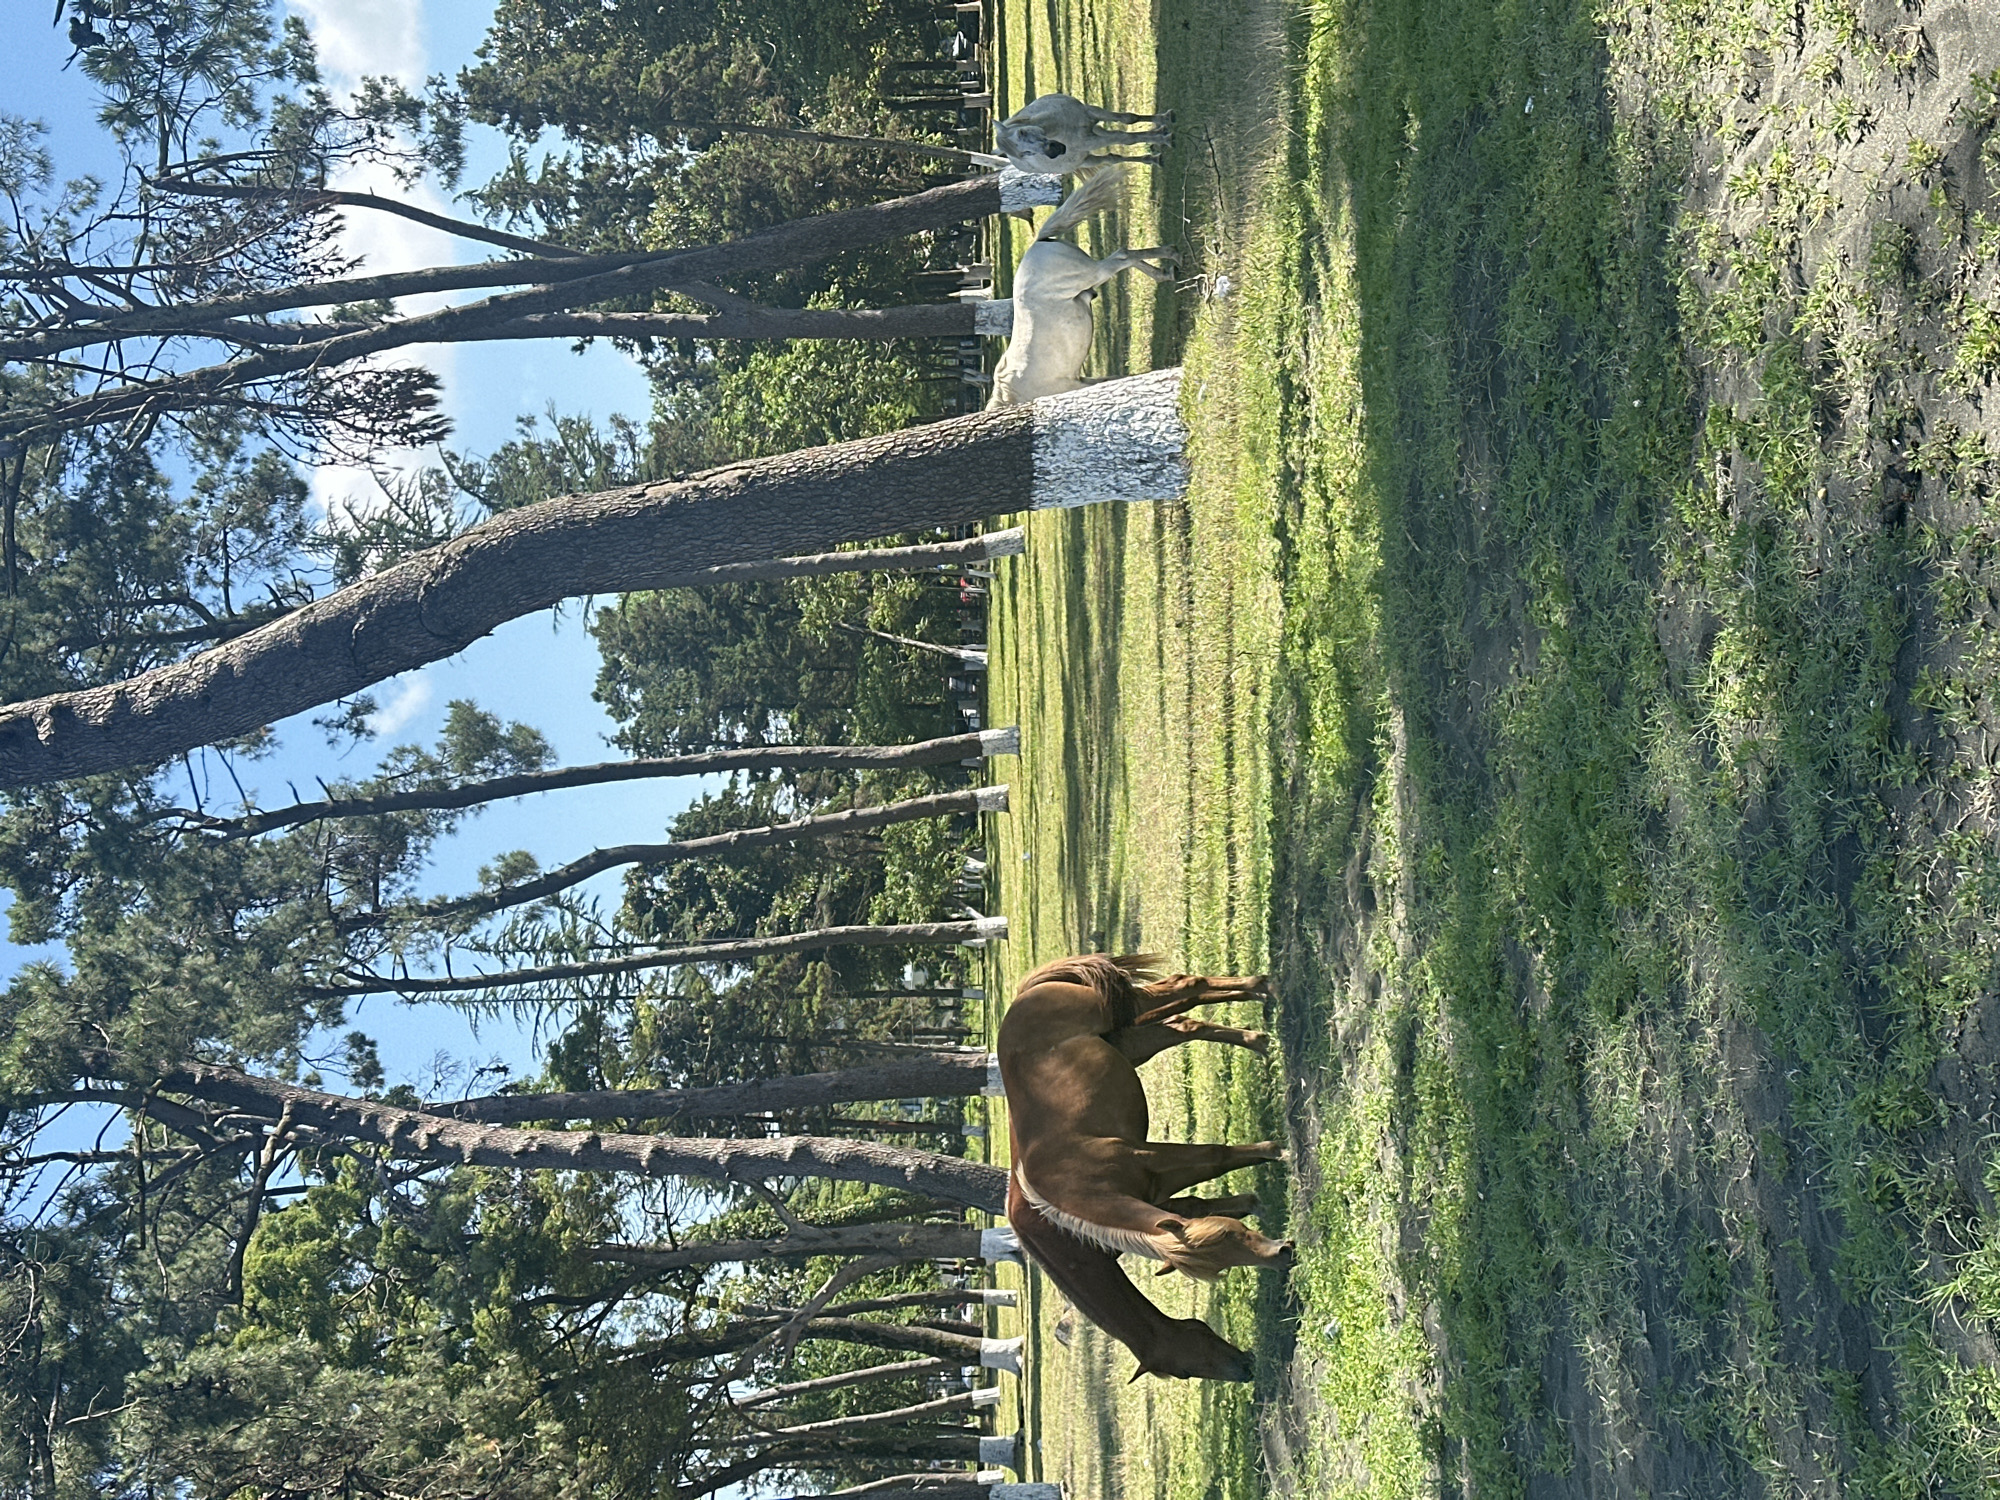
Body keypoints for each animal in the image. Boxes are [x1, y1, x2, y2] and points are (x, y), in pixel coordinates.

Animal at [986, 169, 1178, 409]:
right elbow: (1112, 379)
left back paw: (1172, 257)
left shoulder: (1075, 386)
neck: (1012, 394)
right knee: (1124, 258)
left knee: (1123, 256)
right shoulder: (1082, 380)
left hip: (1093, 274)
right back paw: (1166, 271)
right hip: (1091, 279)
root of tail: (1039, 242)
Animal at [995, 93, 1174, 175]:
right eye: (1025, 154)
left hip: (1095, 131)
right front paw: (1164, 138)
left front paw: (1164, 119)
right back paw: (1152, 156)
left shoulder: (1091, 112)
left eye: (1022, 131)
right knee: (1111, 158)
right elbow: (1127, 138)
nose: (1053, 151)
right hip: (1086, 159)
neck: (1062, 127)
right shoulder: (1090, 141)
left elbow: (1129, 118)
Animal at [997, 954, 1293, 1282]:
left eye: (1230, 1235)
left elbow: (1216, 1154)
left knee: (1185, 986)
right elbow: (1208, 1183)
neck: (1075, 1181)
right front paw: (1256, 1199)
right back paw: (1257, 1032)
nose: (1283, 1255)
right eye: (1224, 1253)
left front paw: (1279, 1151)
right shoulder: (1161, 1184)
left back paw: (1261, 989)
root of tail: (1023, 997)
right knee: (1184, 1020)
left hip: (1121, 1010)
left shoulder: (1151, 1156)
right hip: (1131, 1038)